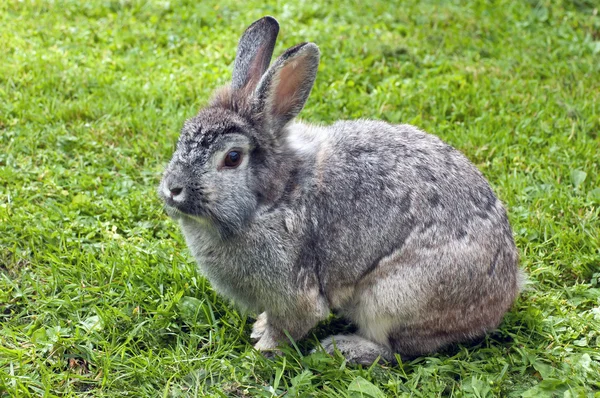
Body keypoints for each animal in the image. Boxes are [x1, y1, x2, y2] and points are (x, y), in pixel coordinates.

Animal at [157, 17, 524, 366]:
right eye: (182, 137)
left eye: (232, 158)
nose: (172, 189)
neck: (274, 196)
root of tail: (503, 294)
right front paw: (259, 328)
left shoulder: (293, 291)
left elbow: (290, 324)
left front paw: (262, 348)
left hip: (393, 298)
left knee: (396, 350)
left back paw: (341, 349)